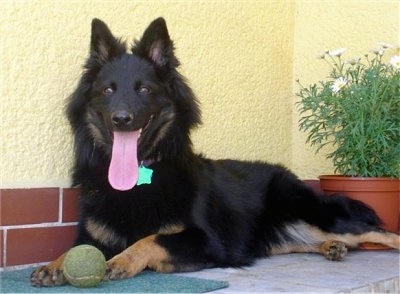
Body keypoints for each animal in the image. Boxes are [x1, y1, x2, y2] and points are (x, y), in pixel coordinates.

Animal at [29, 17, 398, 286]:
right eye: (108, 90)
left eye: (144, 89)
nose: (122, 119)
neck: (141, 177)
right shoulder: (91, 234)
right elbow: (77, 248)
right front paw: (55, 264)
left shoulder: (206, 240)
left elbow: (151, 239)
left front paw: (121, 260)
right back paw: (331, 247)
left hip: (320, 214)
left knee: (382, 233)